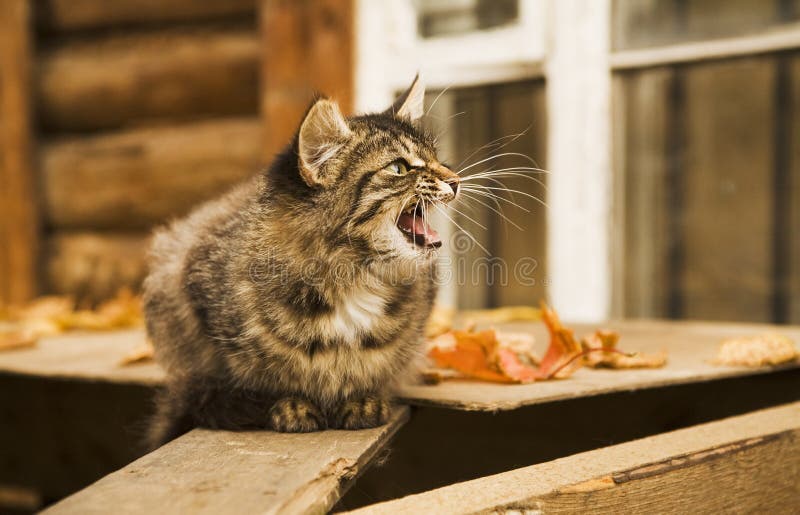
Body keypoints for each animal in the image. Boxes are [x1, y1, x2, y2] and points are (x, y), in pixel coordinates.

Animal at [141, 74, 460, 450]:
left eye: (437, 158)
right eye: (399, 168)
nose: (456, 180)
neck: (353, 277)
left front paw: (361, 399)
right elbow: (256, 381)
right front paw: (291, 405)